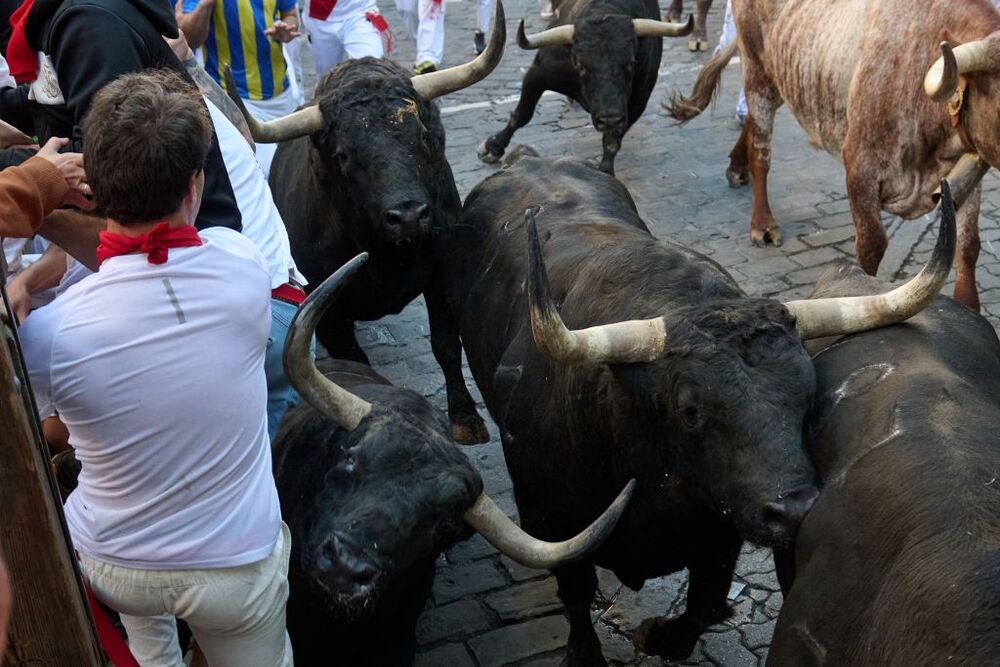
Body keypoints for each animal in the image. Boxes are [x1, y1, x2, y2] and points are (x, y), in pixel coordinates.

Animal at [446, 154, 952, 664]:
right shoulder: (548, 522)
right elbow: (576, 594)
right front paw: (586, 652)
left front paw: (660, 636)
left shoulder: (722, 529)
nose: (794, 511)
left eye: (807, 398)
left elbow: (706, 602)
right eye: (690, 410)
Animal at [476, 0, 696, 176]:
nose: (609, 118)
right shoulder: (538, 73)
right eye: (582, 66)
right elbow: (522, 115)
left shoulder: (638, 100)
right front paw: (492, 147)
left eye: (631, 63)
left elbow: (612, 140)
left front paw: (605, 171)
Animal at [664, 0, 1000, 310]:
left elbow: (968, 244)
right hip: (757, 72)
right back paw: (763, 223)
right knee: (761, 151)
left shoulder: (964, 175)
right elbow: (872, 246)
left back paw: (737, 167)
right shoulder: (860, 170)